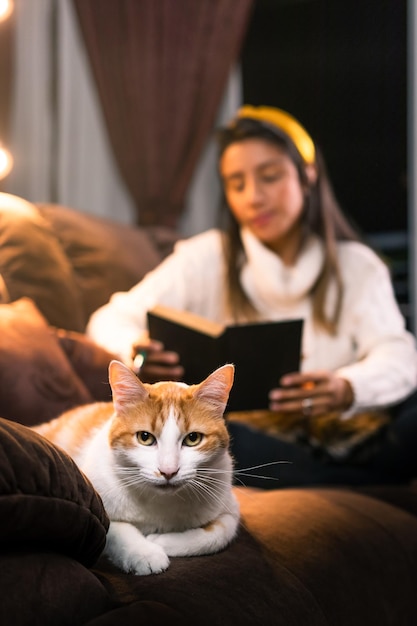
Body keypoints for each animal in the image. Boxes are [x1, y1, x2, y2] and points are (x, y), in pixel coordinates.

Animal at [31, 358, 240, 572]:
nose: (168, 471)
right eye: (145, 437)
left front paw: (162, 540)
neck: (161, 503)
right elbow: (115, 528)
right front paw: (145, 552)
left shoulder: (229, 509)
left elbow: (219, 534)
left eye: (193, 439)